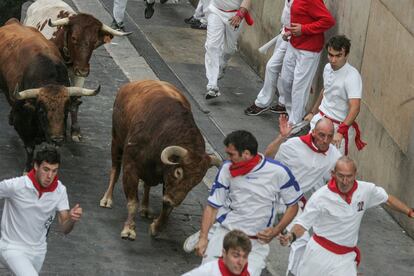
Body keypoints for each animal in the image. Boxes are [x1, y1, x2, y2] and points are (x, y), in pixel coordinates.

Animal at [0, 19, 99, 171]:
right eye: (41, 110)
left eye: (66, 111)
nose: (57, 139)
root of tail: (13, 22)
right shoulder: (23, 125)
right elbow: (29, 148)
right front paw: (28, 169)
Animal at [24, 0, 131, 142]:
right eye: (74, 38)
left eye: (95, 41)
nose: (83, 71)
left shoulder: (79, 73)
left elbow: (75, 96)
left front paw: (75, 130)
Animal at [99, 79, 223, 237]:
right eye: (178, 172)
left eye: (197, 180)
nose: (173, 201)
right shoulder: (130, 168)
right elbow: (132, 202)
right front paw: (129, 229)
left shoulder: (166, 181)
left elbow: (166, 209)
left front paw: (156, 227)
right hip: (116, 141)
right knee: (115, 170)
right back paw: (107, 199)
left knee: (147, 185)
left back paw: (145, 208)